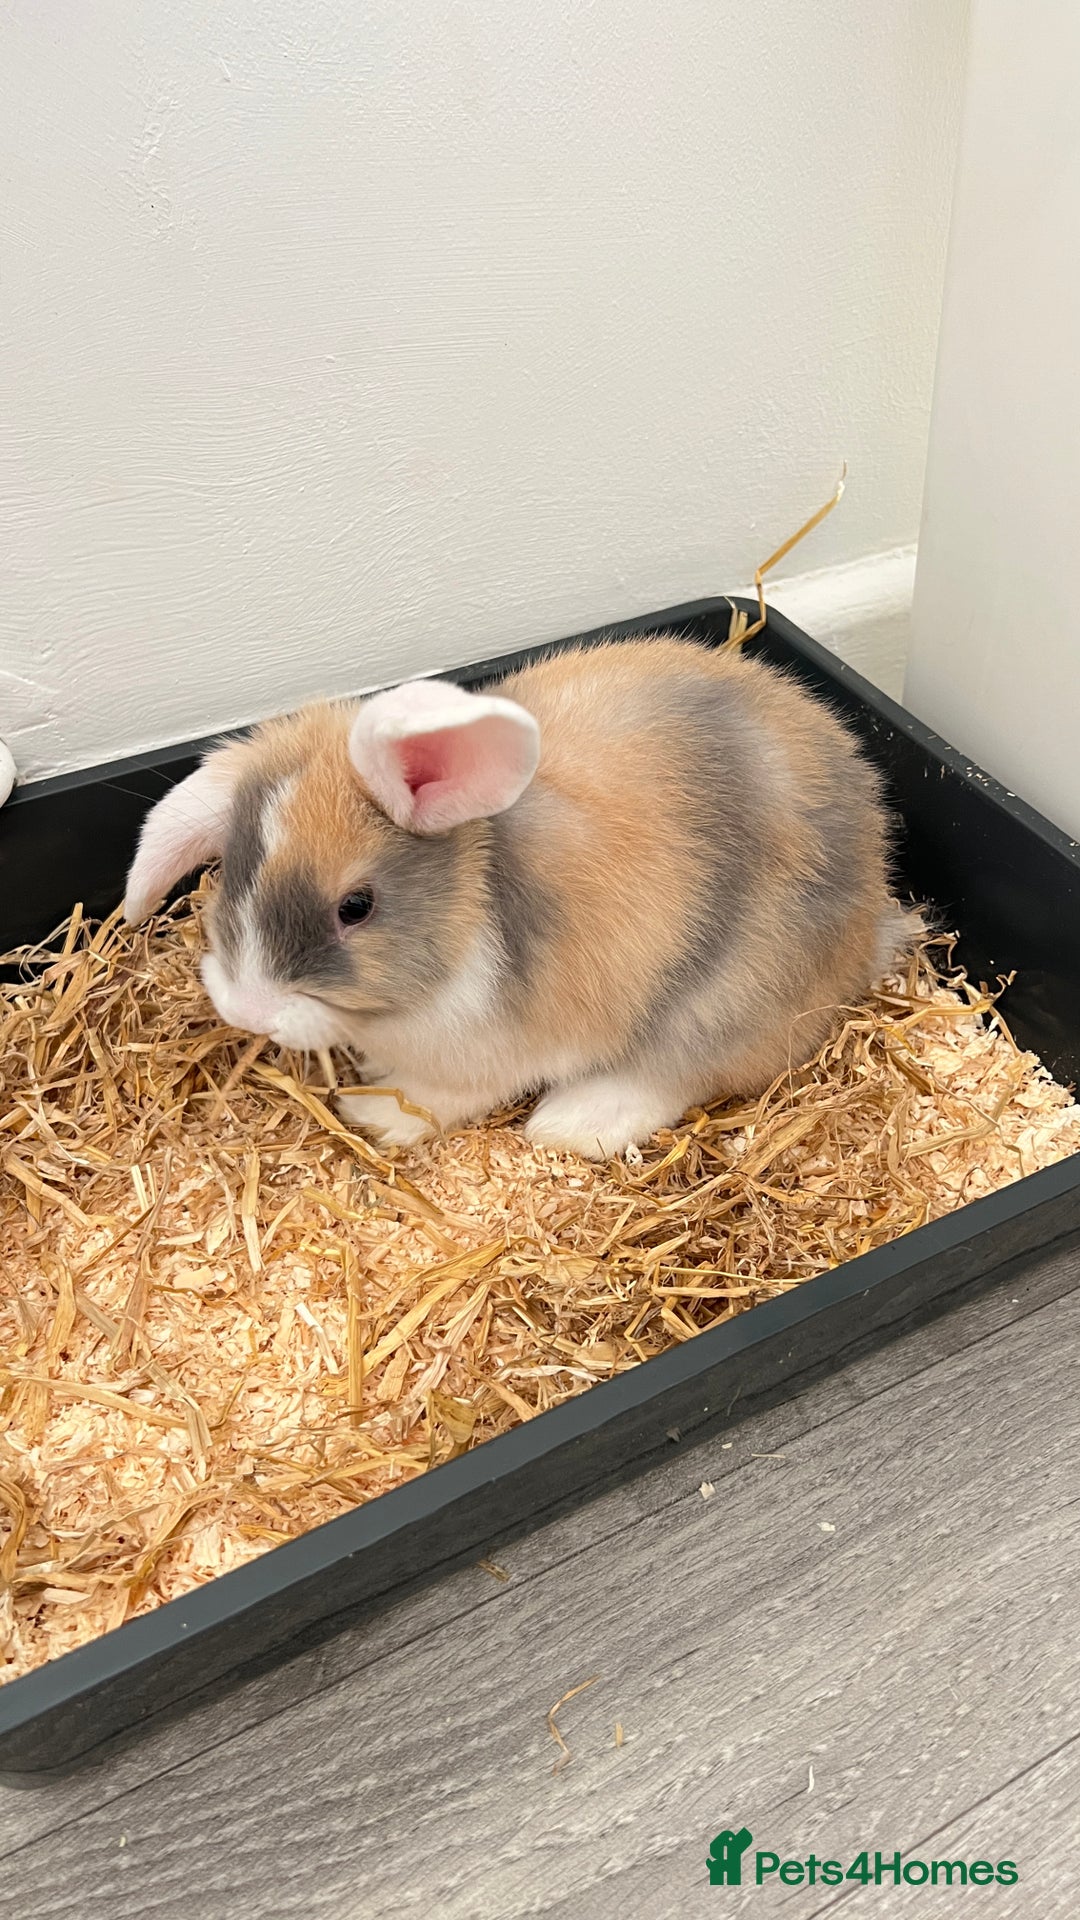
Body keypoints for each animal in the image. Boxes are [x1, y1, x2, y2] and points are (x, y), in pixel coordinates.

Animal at [123, 635, 911, 1159]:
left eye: (356, 907)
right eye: (231, 870)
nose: (245, 1010)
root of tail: (873, 915)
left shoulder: (509, 1045)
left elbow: (450, 1095)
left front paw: (377, 1111)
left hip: (731, 994)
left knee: (678, 1070)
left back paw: (573, 1123)